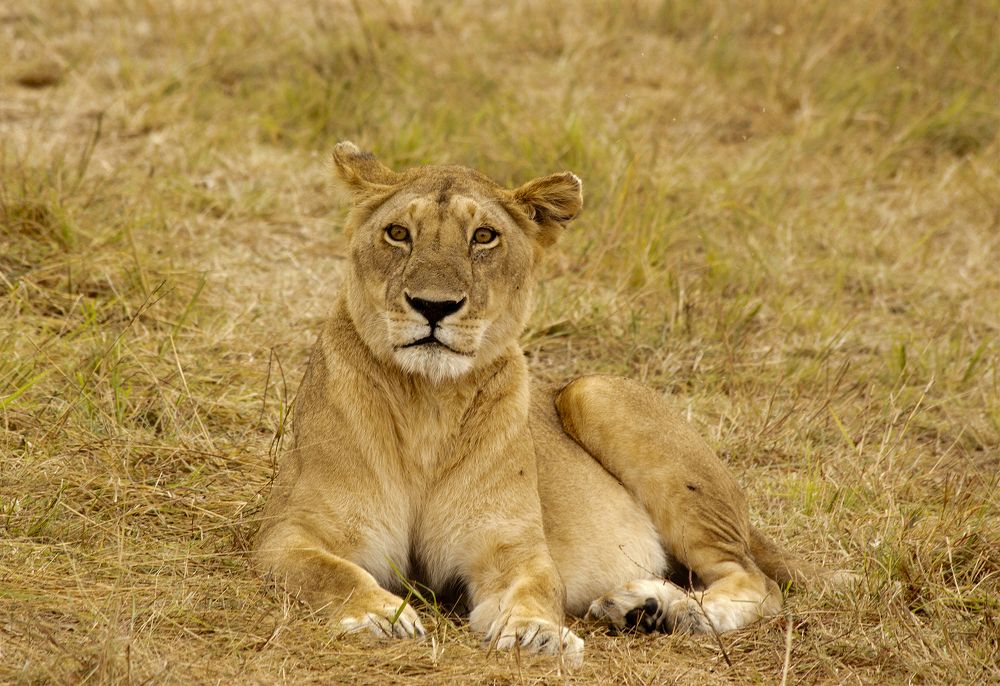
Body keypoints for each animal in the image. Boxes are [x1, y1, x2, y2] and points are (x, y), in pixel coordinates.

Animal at [255, 142, 837, 664]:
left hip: (594, 391)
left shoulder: (513, 547)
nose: (433, 307)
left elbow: (535, 589)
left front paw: (538, 634)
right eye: (398, 233)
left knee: (757, 579)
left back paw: (680, 612)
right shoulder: (286, 535)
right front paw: (381, 616)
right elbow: (332, 572)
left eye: (483, 237)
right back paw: (643, 606)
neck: (429, 404)